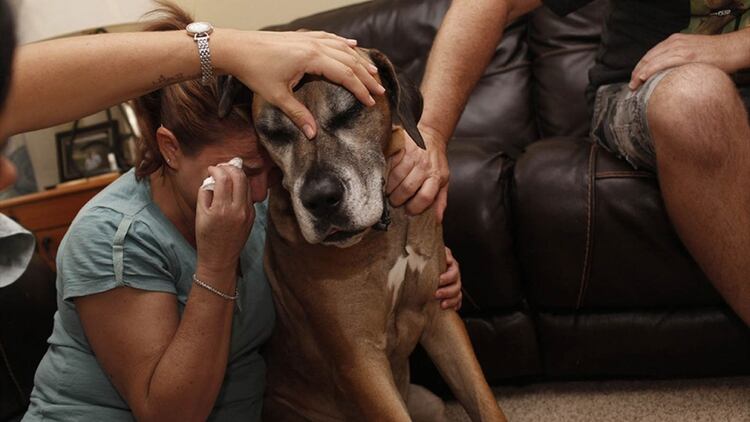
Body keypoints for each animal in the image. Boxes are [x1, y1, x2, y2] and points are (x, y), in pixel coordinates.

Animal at [223, 48, 508, 418]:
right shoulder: (360, 360)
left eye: (350, 112)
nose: (320, 199)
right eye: (274, 132)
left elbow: (484, 400)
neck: (383, 234)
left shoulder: (441, 318)